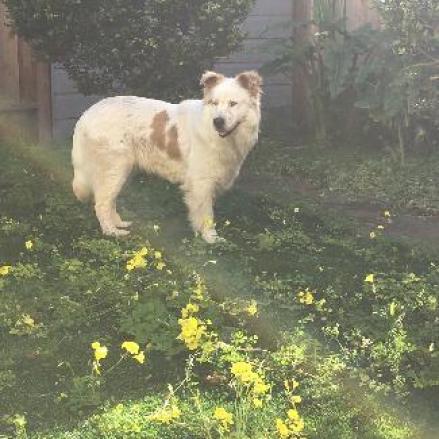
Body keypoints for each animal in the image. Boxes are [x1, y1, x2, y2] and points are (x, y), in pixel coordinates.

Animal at [72, 71, 262, 244]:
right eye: (214, 103)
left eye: (233, 104)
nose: (218, 121)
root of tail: (87, 113)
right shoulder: (201, 184)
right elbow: (207, 215)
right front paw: (210, 238)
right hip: (115, 169)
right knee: (101, 204)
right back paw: (112, 232)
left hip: (123, 172)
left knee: (109, 201)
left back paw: (119, 223)